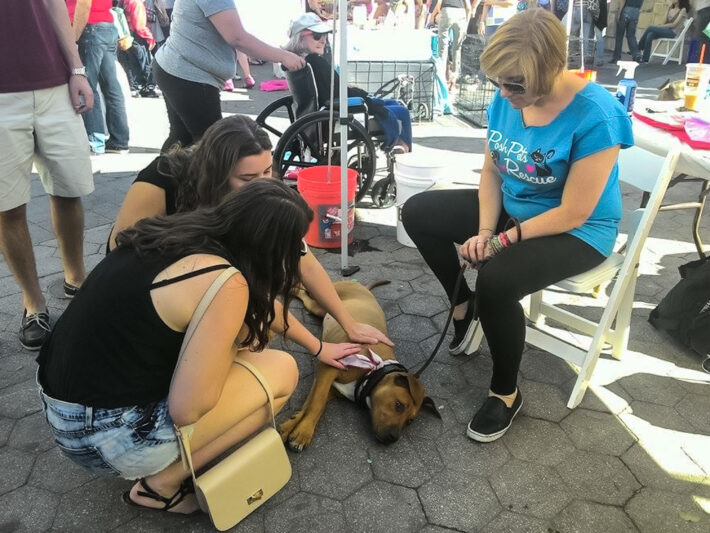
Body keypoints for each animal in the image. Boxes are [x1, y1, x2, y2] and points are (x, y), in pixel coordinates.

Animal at [280, 278, 440, 448]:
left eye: (410, 421)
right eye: (399, 405)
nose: (393, 439)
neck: (373, 371)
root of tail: (362, 286)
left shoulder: (330, 384)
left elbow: (311, 402)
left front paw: (292, 426)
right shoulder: (328, 368)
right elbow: (317, 402)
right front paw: (303, 432)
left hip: (320, 307)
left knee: (304, 294)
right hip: (321, 297)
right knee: (303, 290)